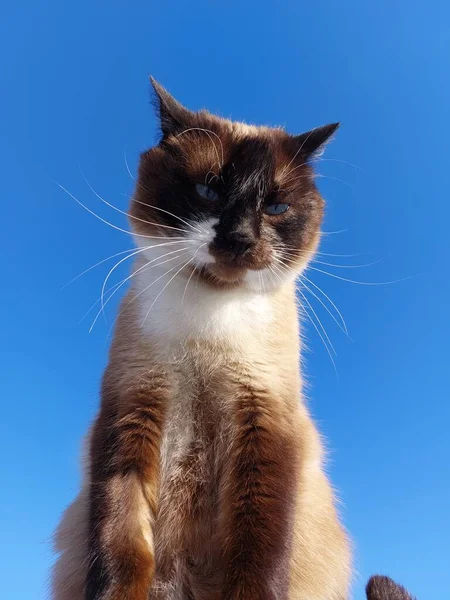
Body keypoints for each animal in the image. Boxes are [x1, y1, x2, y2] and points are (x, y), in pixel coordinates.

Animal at [51, 79, 398, 600]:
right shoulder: (132, 409)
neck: (210, 325)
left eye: (275, 207)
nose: (238, 238)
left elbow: (256, 557)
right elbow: (120, 546)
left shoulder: (264, 426)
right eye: (208, 190)